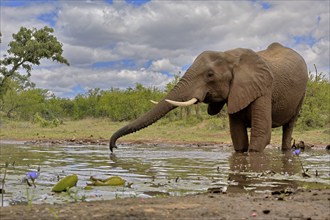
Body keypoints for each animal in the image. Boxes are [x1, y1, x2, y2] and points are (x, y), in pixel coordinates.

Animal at [109, 43, 308, 153]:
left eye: (210, 75)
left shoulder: (264, 89)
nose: (114, 148)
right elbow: (238, 137)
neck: (230, 55)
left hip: (301, 94)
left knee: (289, 127)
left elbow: (261, 135)